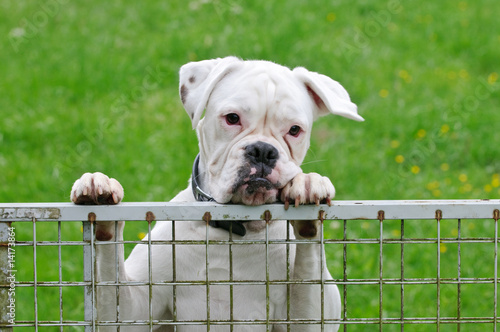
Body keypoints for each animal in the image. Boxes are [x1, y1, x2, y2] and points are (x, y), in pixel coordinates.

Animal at [70, 55, 364, 330]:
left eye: (295, 130)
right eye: (232, 118)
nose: (263, 150)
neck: (233, 230)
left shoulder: (308, 315)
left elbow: (309, 257)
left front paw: (308, 184)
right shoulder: (130, 312)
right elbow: (108, 260)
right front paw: (100, 190)